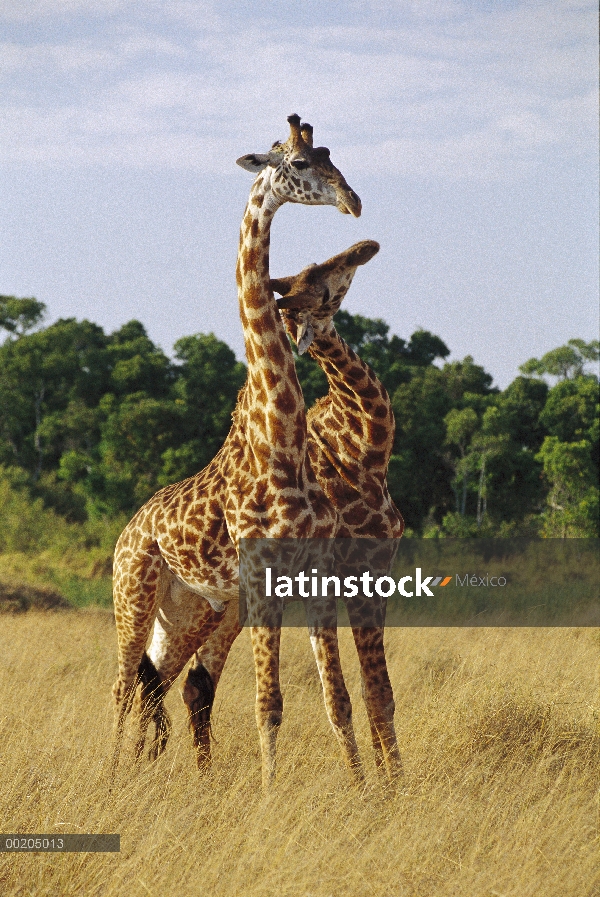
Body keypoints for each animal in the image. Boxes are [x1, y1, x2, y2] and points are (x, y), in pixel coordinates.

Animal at [112, 114, 366, 792]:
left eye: (329, 154)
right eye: (299, 164)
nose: (353, 201)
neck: (280, 442)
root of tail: (128, 531)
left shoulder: (314, 573)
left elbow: (337, 699)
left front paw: (367, 790)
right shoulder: (262, 576)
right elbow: (268, 703)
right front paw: (271, 796)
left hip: (197, 610)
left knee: (167, 684)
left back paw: (163, 772)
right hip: (134, 596)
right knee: (123, 685)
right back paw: (111, 771)